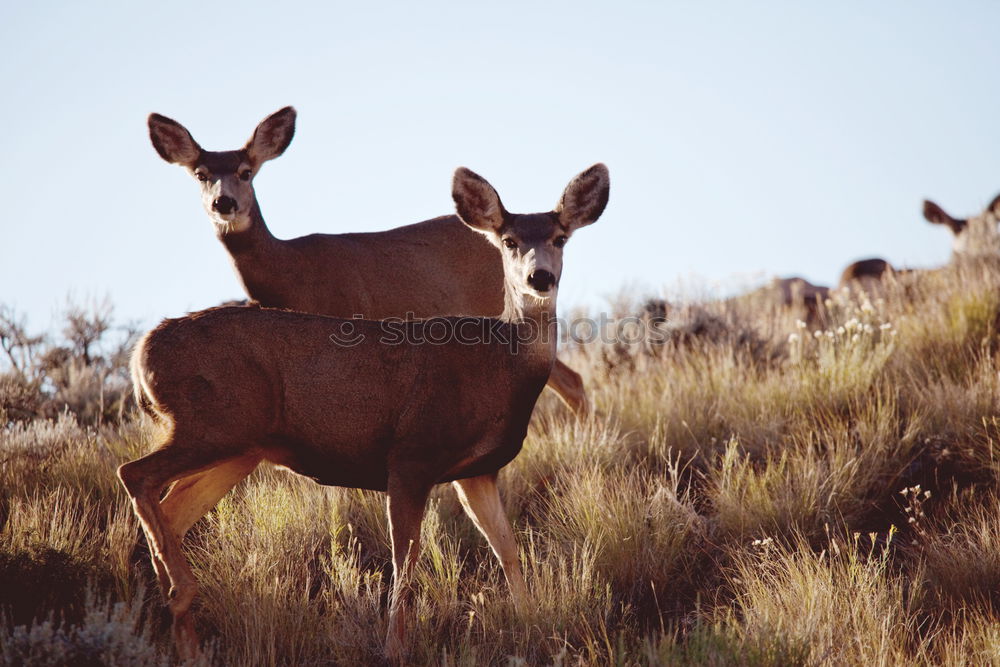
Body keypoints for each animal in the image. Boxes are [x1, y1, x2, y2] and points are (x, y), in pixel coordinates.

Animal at [115, 163, 608, 664]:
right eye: (508, 240)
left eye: (560, 237)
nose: (540, 277)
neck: (500, 367)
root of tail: (140, 355)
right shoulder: (412, 453)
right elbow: (405, 562)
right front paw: (394, 648)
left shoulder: (476, 471)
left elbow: (507, 549)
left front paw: (532, 622)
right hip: (210, 424)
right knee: (134, 473)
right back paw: (180, 594)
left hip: (238, 447)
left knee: (170, 510)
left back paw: (181, 631)